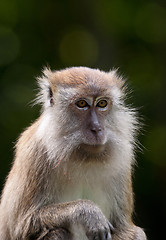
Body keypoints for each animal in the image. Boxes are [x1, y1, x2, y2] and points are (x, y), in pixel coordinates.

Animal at [0, 67, 146, 240]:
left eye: (102, 103)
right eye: (82, 104)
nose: (97, 129)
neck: (82, 156)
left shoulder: (122, 162)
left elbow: (125, 229)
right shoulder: (35, 153)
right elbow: (21, 225)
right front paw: (87, 212)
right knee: (57, 232)